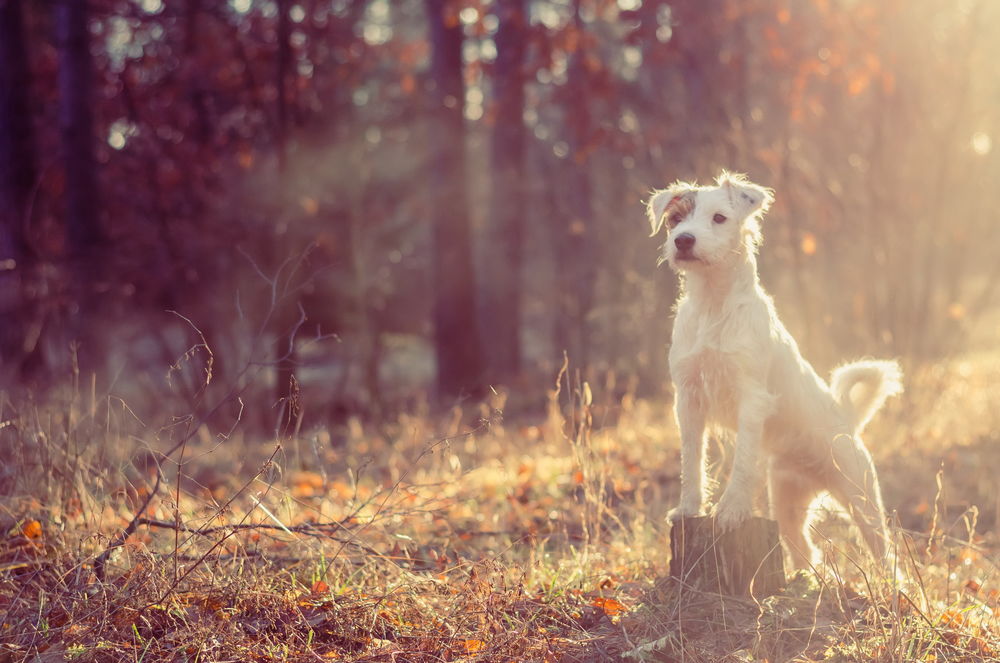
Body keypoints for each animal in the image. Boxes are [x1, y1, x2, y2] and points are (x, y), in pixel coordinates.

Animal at [644, 172, 904, 572]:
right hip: (786, 502)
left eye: (719, 217)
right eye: (675, 219)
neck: (713, 305)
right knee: (805, 551)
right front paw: (689, 508)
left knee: (885, 557)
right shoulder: (688, 400)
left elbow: (742, 461)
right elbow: (692, 460)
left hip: (862, 500)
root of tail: (848, 422)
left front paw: (731, 510)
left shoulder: (751, 398)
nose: (683, 240)